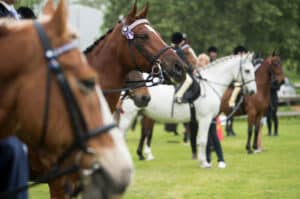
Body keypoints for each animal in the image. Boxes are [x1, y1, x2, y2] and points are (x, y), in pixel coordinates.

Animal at [118, 53, 256, 168]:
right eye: (247, 70)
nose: (253, 91)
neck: (210, 85)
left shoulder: (207, 120)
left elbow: (207, 141)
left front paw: (207, 160)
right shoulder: (205, 119)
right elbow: (203, 141)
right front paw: (204, 163)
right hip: (128, 116)